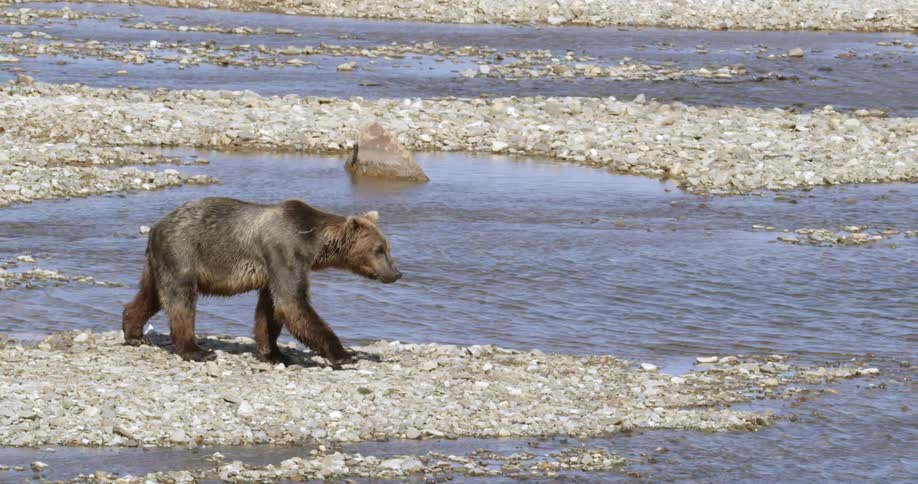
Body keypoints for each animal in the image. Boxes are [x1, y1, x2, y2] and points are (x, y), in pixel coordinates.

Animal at [121, 197, 401, 366]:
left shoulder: (274, 270)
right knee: (181, 301)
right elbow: (293, 303)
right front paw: (344, 354)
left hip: (159, 263)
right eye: (379, 249)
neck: (312, 243)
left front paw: (274, 353)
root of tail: (155, 227)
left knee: (151, 295)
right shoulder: (285, 252)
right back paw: (195, 350)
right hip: (183, 253)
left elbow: (270, 310)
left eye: (387, 247)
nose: (396, 273)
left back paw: (134, 333)